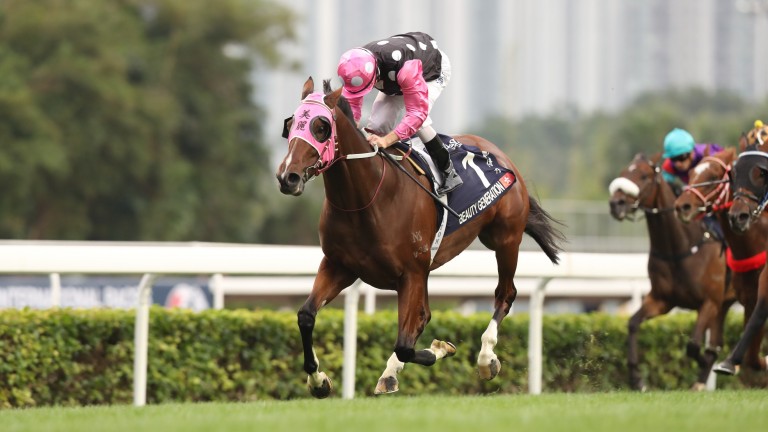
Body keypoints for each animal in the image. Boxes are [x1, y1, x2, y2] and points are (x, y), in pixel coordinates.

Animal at [276, 77, 564, 398]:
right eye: (291, 124)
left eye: (321, 126)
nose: (288, 177)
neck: (367, 200)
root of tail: (501, 156)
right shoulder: (340, 265)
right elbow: (306, 316)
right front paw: (318, 380)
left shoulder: (411, 272)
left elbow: (405, 344)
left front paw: (441, 348)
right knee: (424, 316)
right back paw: (390, 374)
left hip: (505, 239)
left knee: (505, 293)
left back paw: (486, 357)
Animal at [608, 153, 736, 392]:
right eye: (623, 172)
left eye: (644, 175)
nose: (615, 203)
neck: (680, 248)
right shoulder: (662, 300)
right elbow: (632, 324)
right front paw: (637, 379)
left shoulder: (709, 302)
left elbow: (693, 345)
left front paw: (703, 366)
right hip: (724, 303)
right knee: (716, 342)